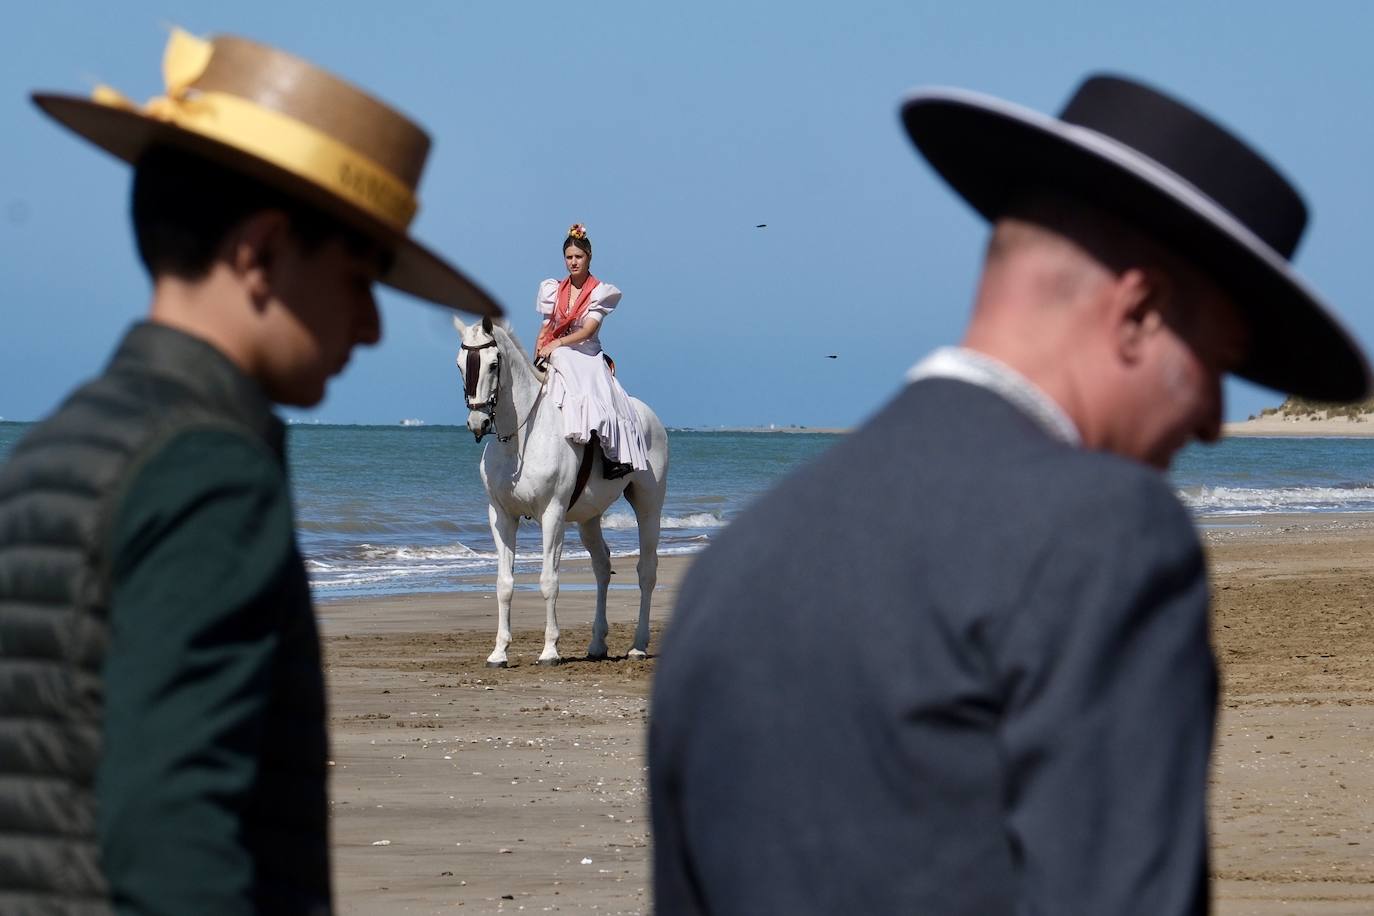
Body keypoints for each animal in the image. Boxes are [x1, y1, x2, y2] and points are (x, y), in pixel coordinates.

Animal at [453, 315, 667, 667]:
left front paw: (550, 650)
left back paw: (638, 645)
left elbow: (548, 580)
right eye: (460, 365)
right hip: (589, 518)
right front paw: (499, 652)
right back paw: (597, 644)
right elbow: (504, 584)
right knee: (602, 567)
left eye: (494, 364)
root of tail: (649, 415)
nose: (477, 422)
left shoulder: (552, 515)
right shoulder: (501, 516)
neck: (520, 440)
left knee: (646, 571)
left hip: (649, 505)